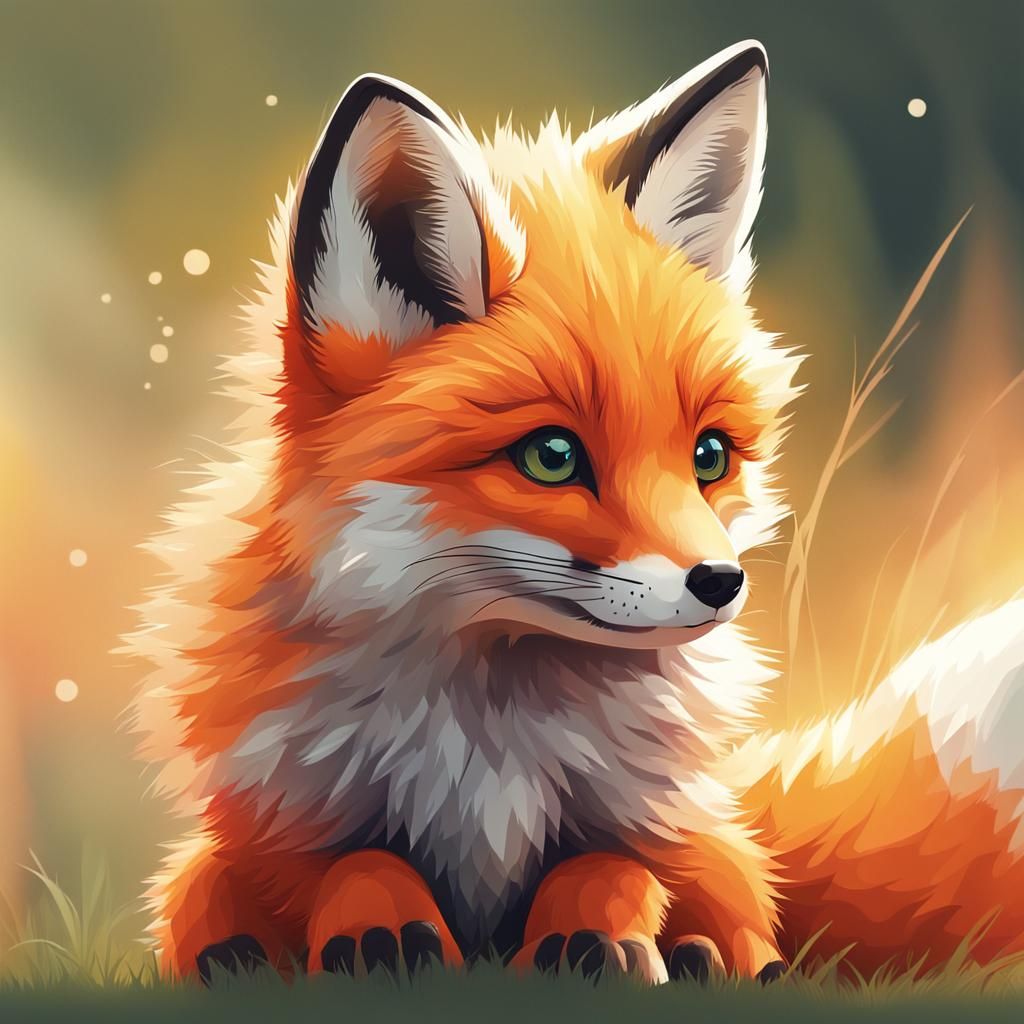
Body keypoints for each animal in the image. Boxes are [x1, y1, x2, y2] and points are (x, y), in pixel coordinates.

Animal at [127, 40, 1024, 985]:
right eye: (551, 457)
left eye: (709, 456)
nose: (721, 582)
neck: (490, 741)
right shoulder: (275, 824)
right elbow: (351, 862)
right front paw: (383, 930)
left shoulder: (654, 816)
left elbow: (611, 865)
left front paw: (592, 935)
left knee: (750, 906)